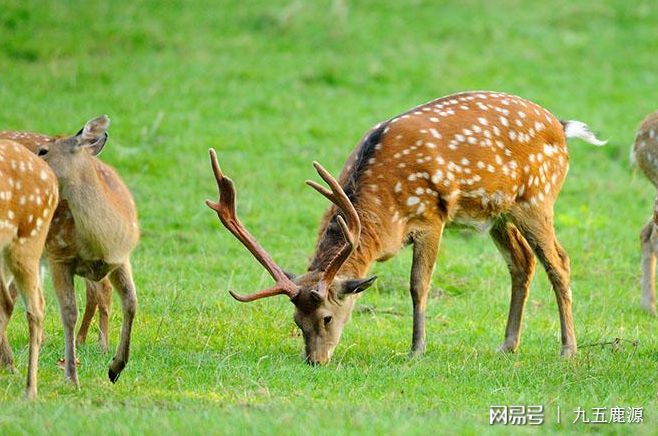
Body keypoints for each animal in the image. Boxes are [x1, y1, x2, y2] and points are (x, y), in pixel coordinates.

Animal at [208, 90, 604, 362]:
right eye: (296, 321)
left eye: (326, 318)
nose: (315, 361)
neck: (385, 213)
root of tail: (562, 127)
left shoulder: (431, 218)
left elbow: (418, 285)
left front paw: (416, 349)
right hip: (497, 212)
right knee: (522, 262)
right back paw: (507, 345)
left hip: (537, 198)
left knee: (559, 261)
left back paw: (568, 349)